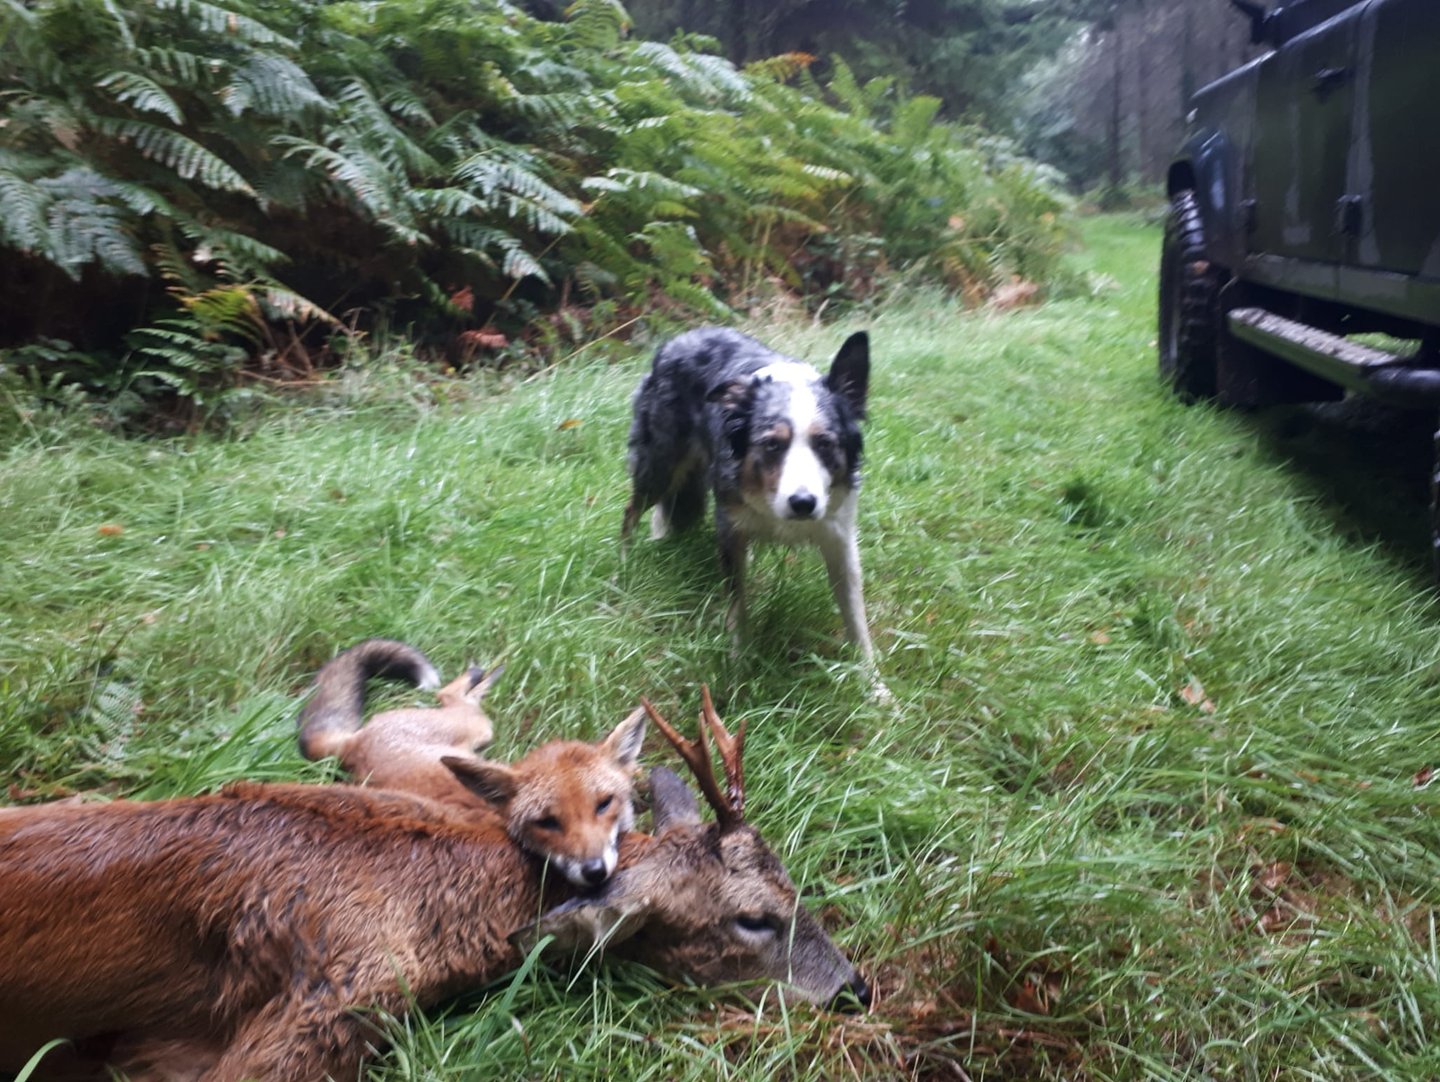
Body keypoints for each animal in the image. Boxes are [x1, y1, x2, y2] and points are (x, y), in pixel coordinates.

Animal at [298, 639, 646, 889]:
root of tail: (352, 741)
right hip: (476, 725)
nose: (594, 871)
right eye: (547, 822)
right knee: (449, 694)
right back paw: (482, 676)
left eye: (603, 804)